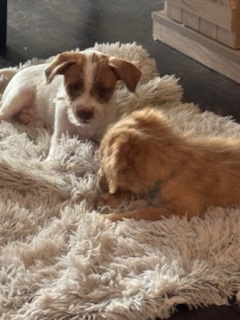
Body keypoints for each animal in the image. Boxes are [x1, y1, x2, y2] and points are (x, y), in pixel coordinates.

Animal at [0, 49, 141, 158]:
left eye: (102, 90)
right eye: (73, 86)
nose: (84, 114)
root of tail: (18, 72)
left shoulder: (103, 134)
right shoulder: (61, 135)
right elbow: (55, 154)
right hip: (18, 97)